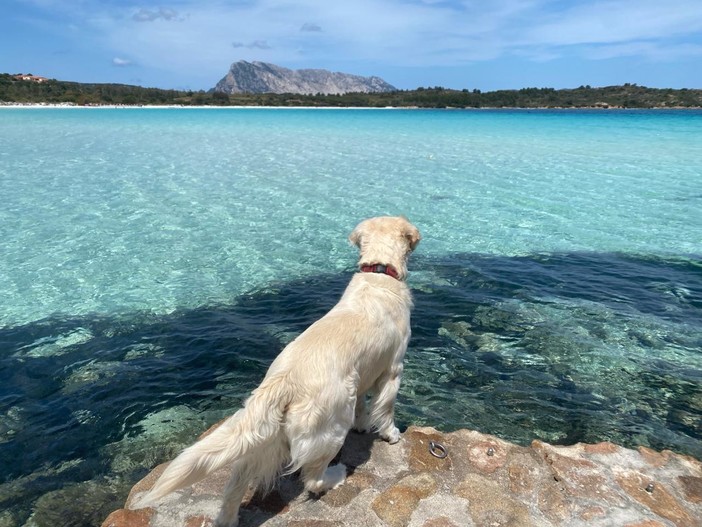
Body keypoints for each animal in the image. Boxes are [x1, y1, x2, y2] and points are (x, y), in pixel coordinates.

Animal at [138, 216, 424, 527]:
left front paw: (362, 425)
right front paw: (391, 434)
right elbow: (385, 409)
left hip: (265, 437)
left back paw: (228, 518)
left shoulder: (364, 371)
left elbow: (363, 404)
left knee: (236, 483)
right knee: (312, 479)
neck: (379, 272)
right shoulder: (393, 369)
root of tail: (282, 382)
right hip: (331, 426)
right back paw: (335, 475)